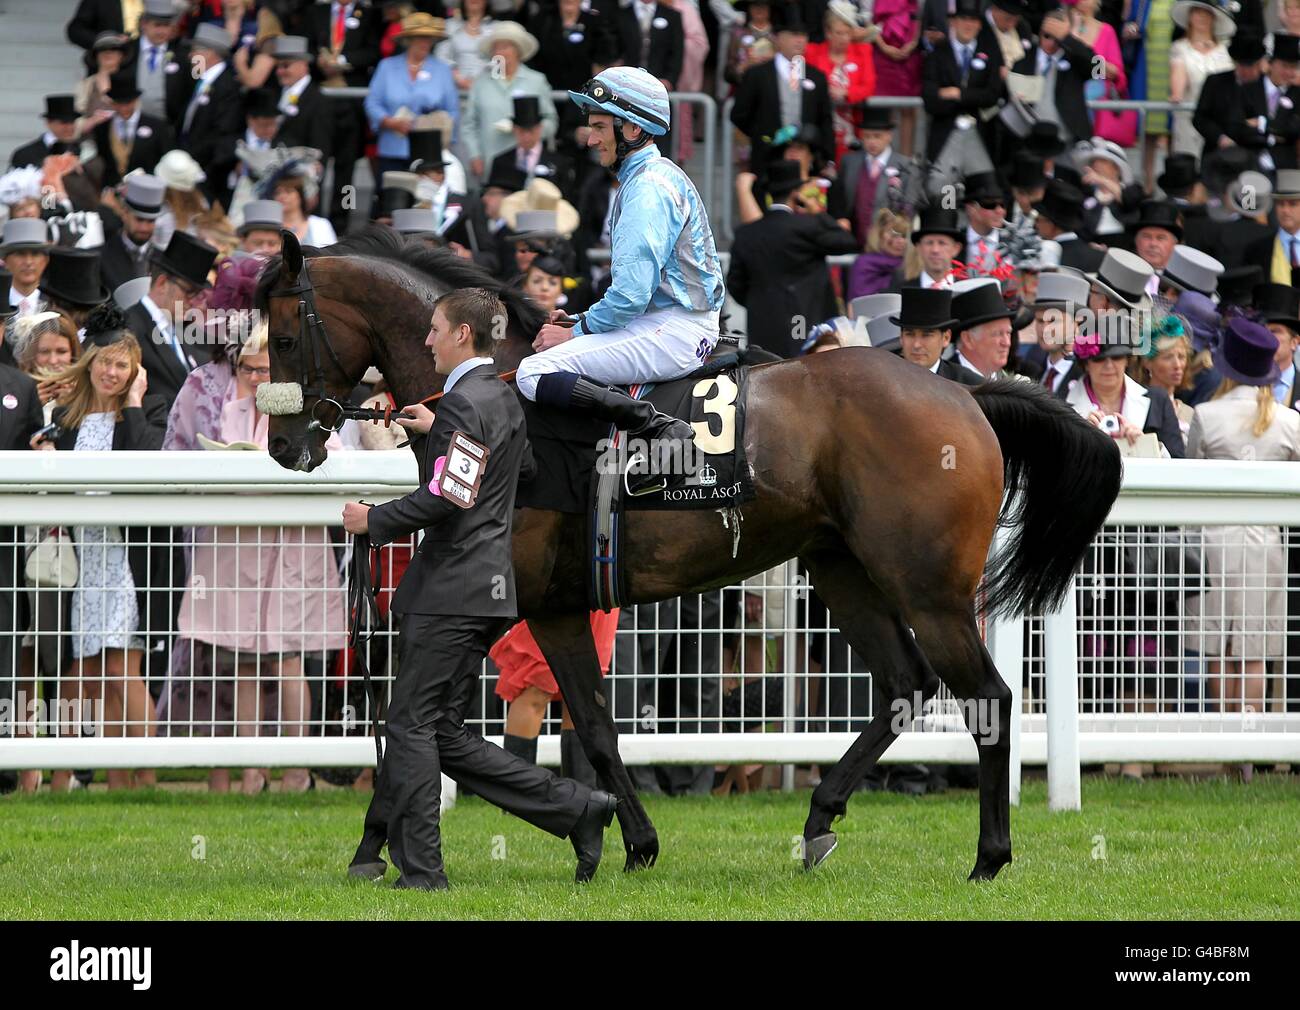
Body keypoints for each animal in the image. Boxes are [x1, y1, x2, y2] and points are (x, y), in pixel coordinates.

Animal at [258, 226, 1123, 873]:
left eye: (282, 333)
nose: (284, 447)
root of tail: (961, 393)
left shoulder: (518, 602)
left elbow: (450, 722)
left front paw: (373, 847)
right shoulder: (555, 608)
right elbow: (586, 726)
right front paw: (629, 840)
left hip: (928, 588)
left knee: (988, 697)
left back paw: (989, 855)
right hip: (842, 569)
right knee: (905, 685)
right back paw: (820, 818)